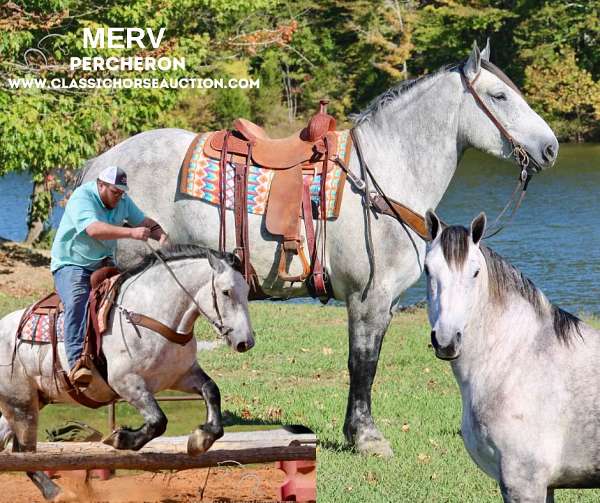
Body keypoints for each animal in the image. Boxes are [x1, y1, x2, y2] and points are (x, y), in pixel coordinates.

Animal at [0, 244, 254, 500]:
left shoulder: (182, 375)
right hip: (21, 405)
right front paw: (121, 438)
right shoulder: (126, 382)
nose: (246, 342)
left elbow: (211, 390)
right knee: (24, 452)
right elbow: (158, 421)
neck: (149, 314)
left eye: (247, 291)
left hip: (30, 401)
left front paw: (201, 438)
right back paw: (57, 492)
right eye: (226, 292)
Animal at [78, 42, 556, 456]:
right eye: (499, 96)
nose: (550, 148)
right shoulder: (369, 297)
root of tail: (102, 162)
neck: (382, 175)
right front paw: (366, 437)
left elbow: (365, 362)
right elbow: (363, 363)